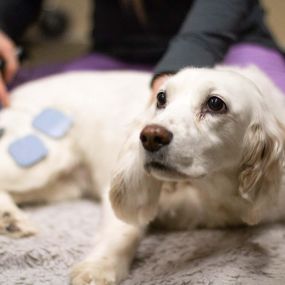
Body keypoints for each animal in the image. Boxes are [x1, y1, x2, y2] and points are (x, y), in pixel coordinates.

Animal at [0, 65, 284, 282]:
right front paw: (99, 267)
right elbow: (125, 231)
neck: (212, 189)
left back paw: (10, 220)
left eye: (215, 103)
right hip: (43, 161)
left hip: (61, 184)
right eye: (161, 98)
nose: (150, 136)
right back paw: (11, 219)